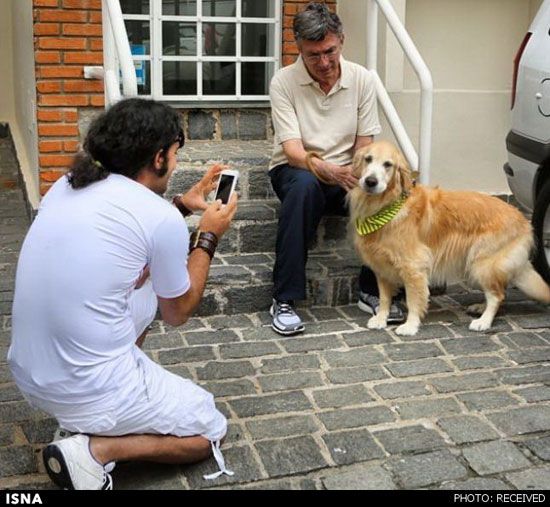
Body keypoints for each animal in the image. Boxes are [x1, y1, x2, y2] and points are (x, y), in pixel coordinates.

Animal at [350, 140, 550, 338]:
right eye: (368, 159)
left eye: (388, 164)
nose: (370, 181)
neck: (385, 206)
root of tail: (523, 219)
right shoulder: (381, 266)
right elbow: (384, 298)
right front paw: (381, 319)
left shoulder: (414, 266)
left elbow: (414, 299)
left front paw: (410, 326)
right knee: (498, 291)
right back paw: (480, 308)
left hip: (482, 263)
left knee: (497, 295)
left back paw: (484, 321)